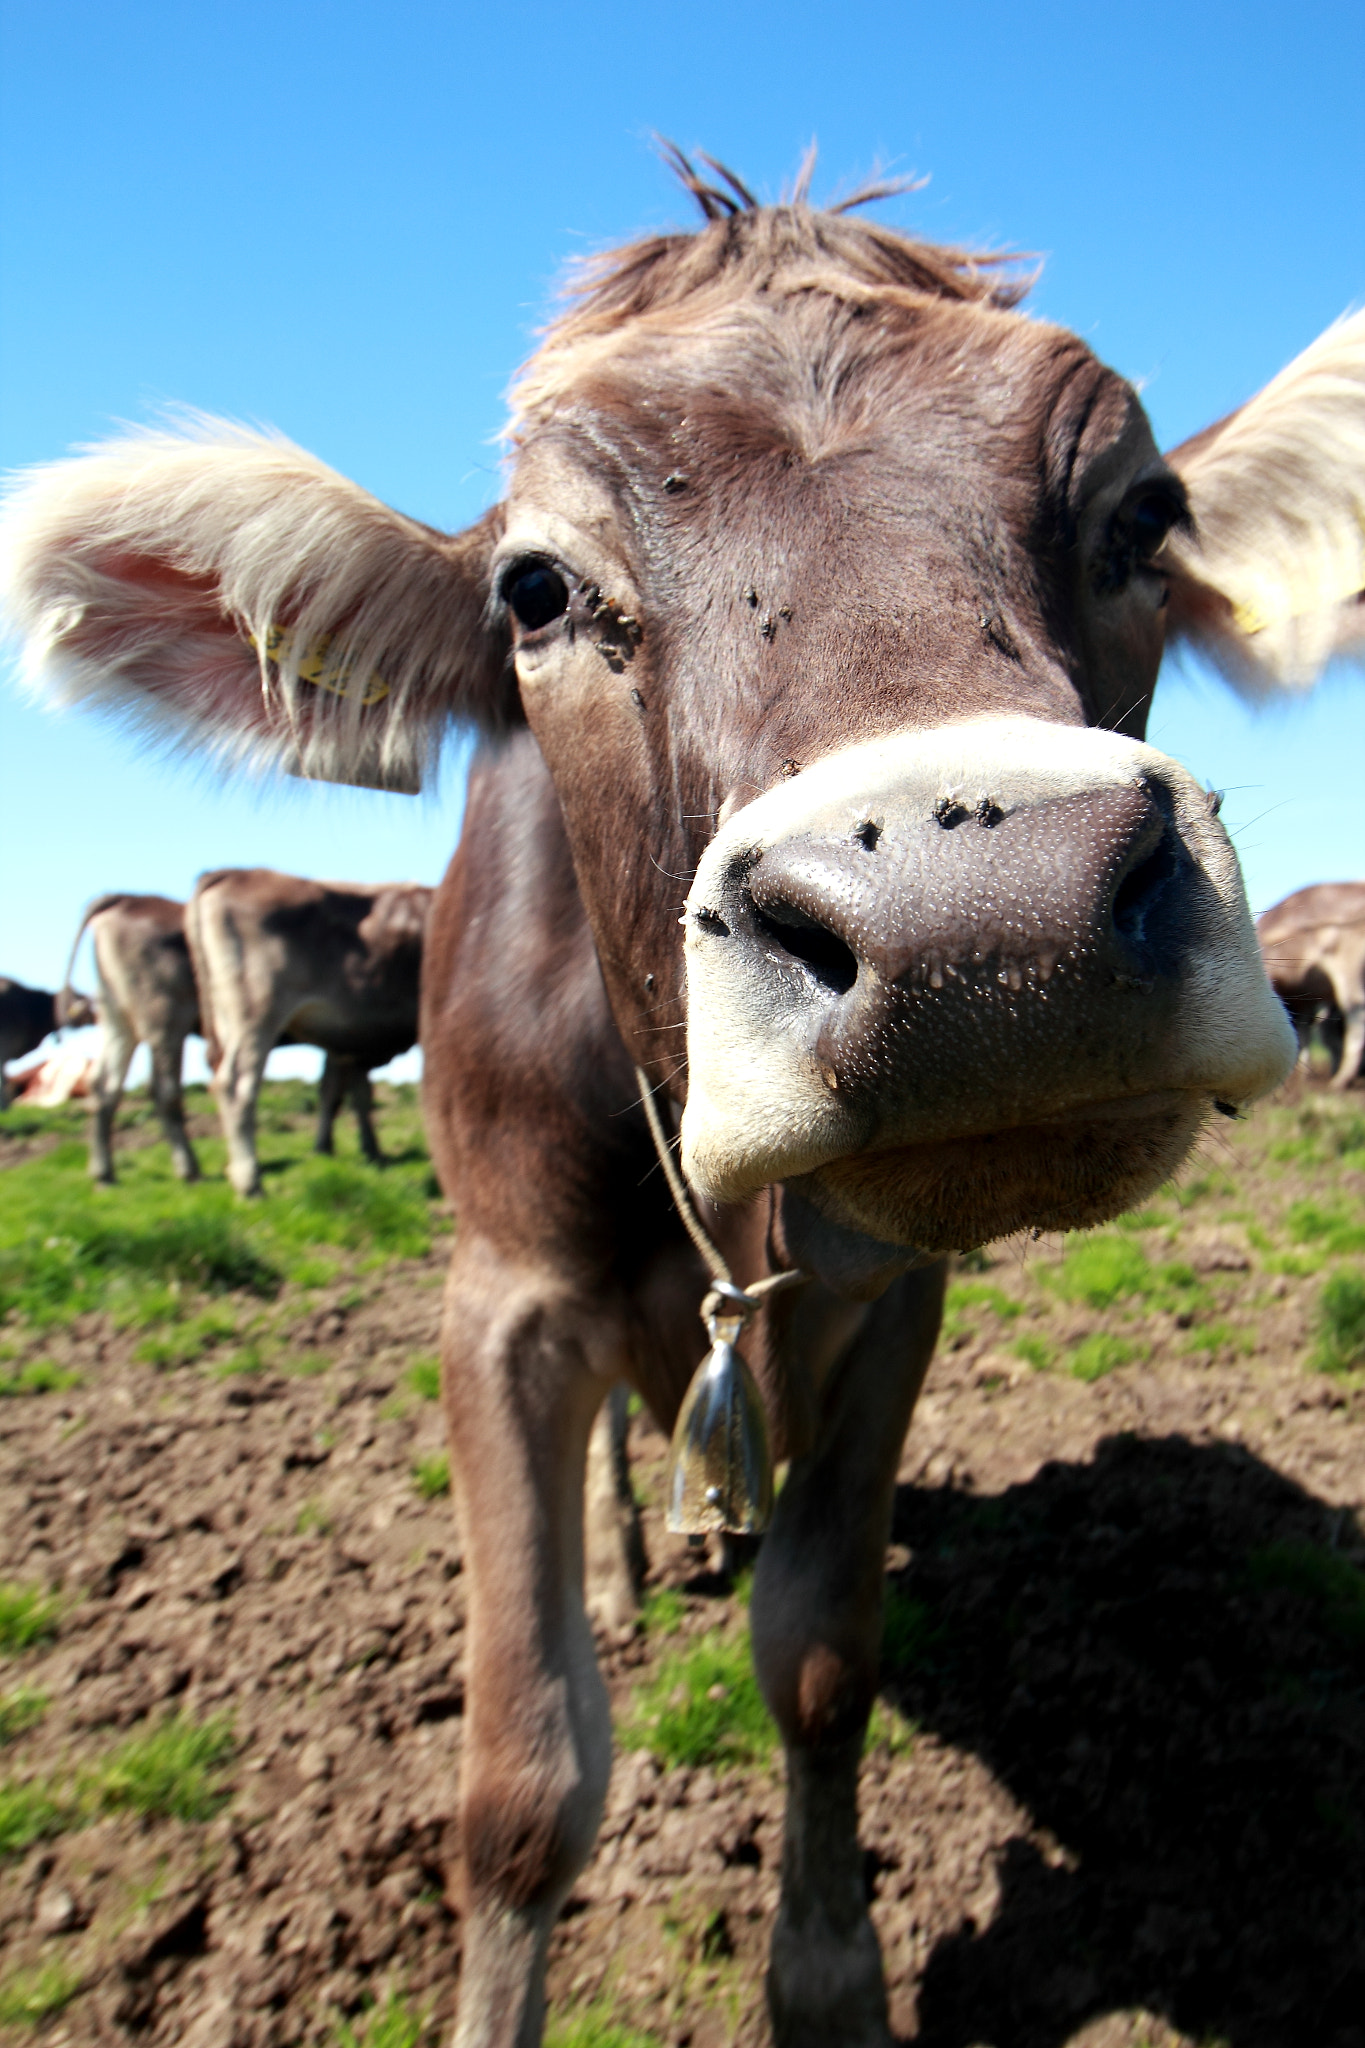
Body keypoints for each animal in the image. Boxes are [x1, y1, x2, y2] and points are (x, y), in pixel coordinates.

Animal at [60, 892, 204, 1181]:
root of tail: (127, 897)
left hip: (116, 1020)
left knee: (103, 1085)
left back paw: (103, 1173)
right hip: (165, 1019)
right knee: (164, 1090)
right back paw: (188, 1168)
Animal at [186, 868, 432, 1196]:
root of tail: (234, 872)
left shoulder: (347, 1040)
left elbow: (340, 1092)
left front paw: (340, 1151)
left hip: (228, 1023)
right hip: (256, 1015)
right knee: (235, 1085)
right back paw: (250, 1180)